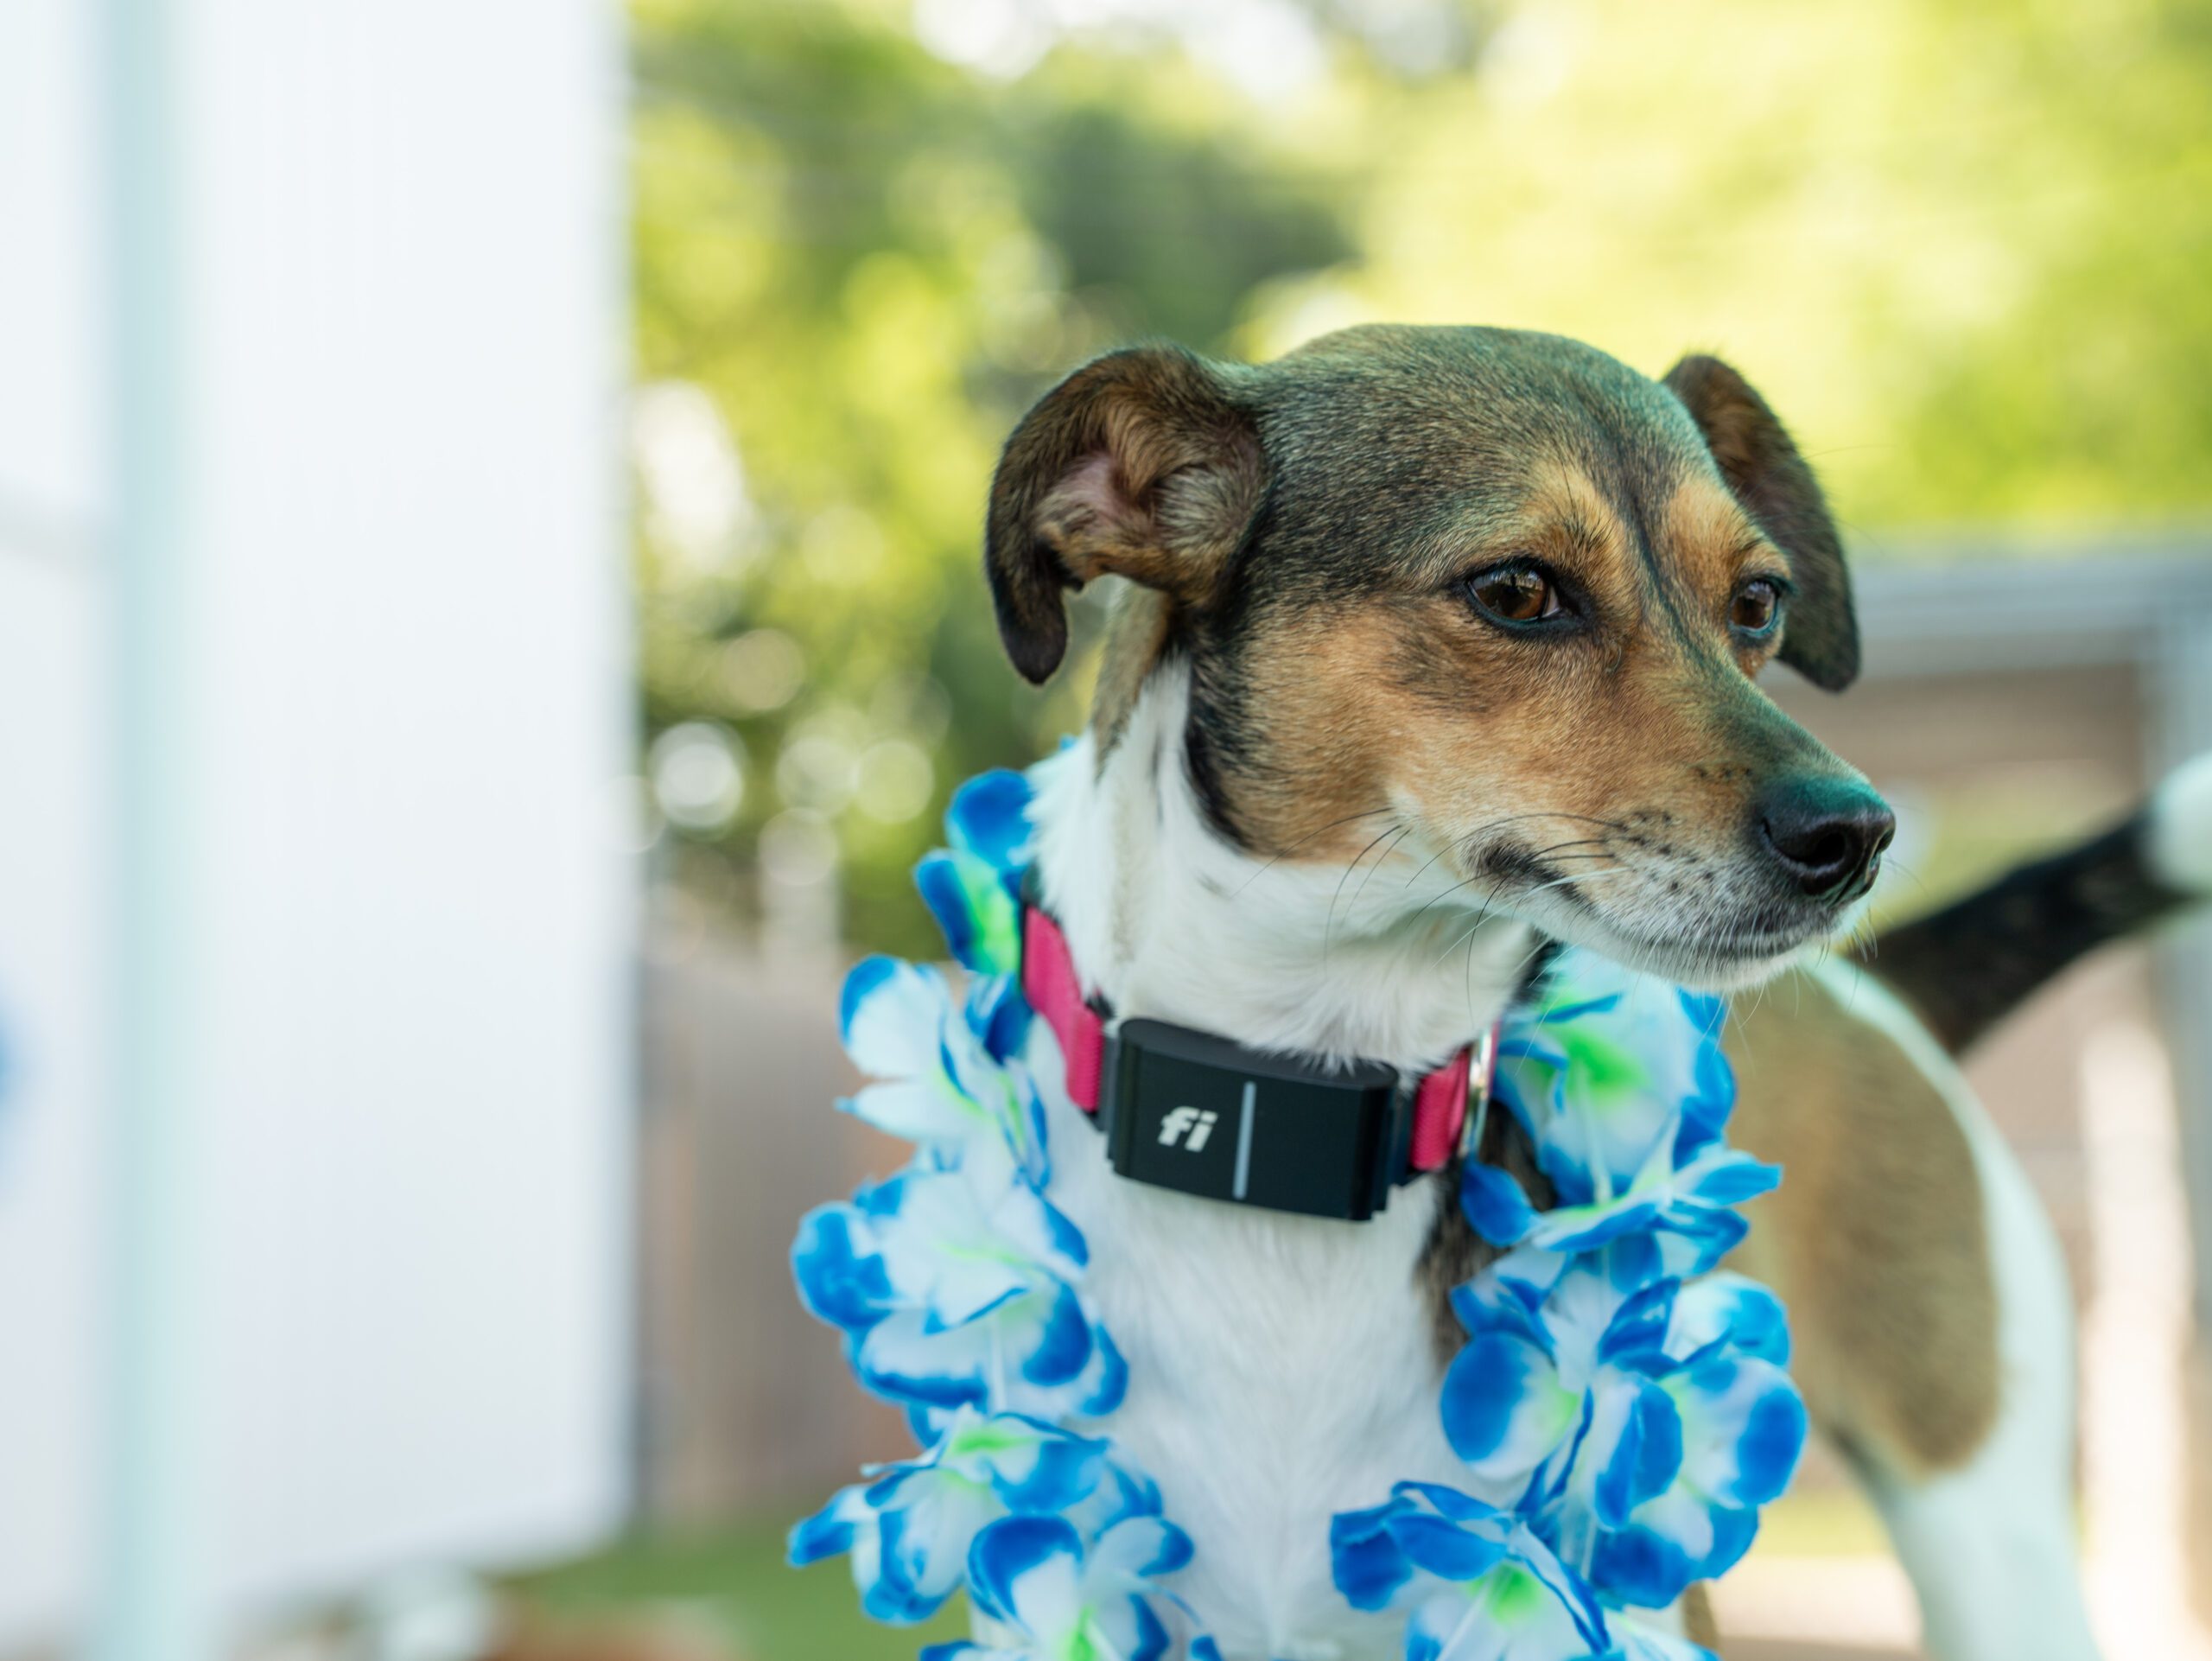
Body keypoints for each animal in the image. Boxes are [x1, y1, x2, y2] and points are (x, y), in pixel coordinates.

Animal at [969, 324, 2212, 1660]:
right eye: (1518, 591)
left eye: (1759, 602)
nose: (1857, 834)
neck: (1299, 1111)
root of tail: (1875, 1004)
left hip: (1988, 1528)